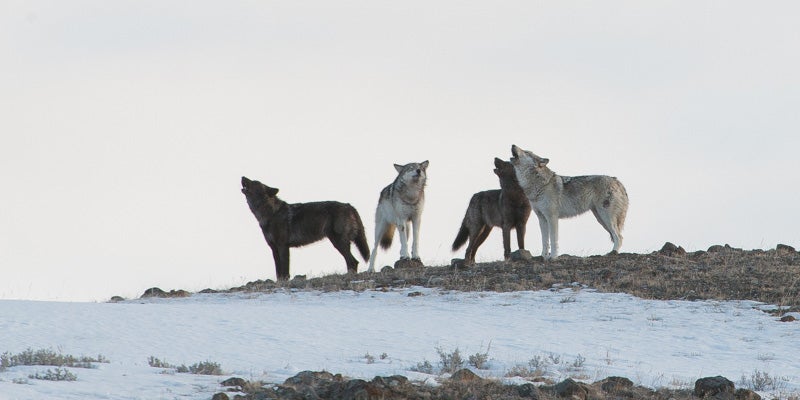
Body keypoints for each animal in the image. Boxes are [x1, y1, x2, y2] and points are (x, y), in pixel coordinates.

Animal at [241, 177, 372, 280]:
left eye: (254, 182)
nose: (242, 176)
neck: (271, 214)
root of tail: (349, 206)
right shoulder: (274, 249)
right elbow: (278, 272)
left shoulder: (283, 246)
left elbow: (285, 270)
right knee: (352, 262)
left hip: (338, 242)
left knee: (353, 262)